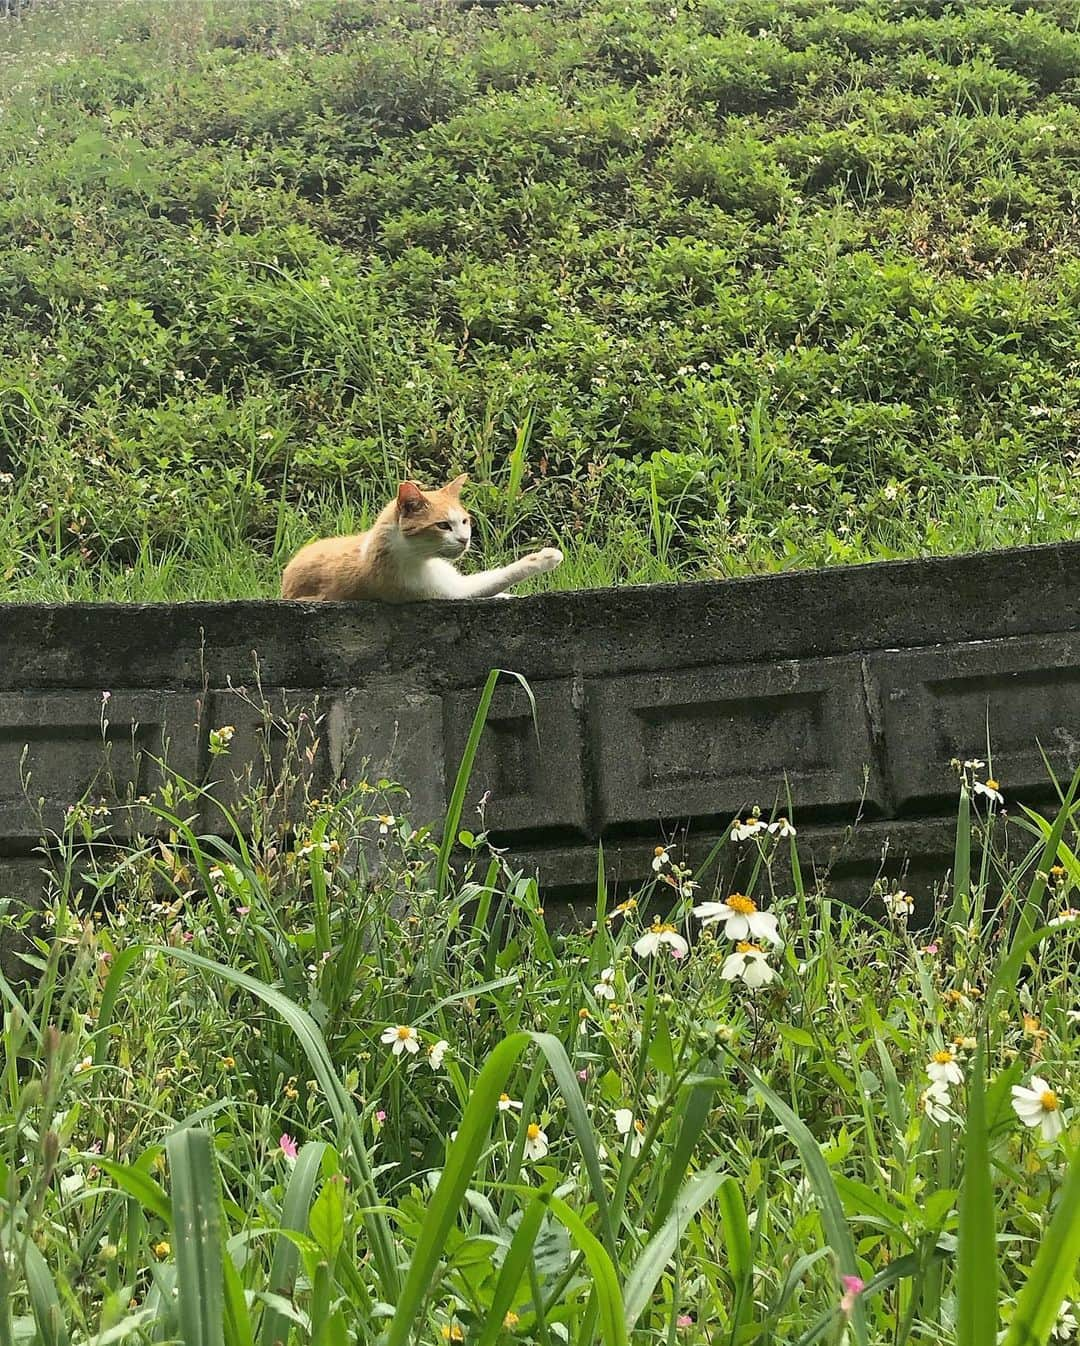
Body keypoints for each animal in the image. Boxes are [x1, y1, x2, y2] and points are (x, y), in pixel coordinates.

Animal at [277, 473, 562, 600]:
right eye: (443, 525)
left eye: (464, 522)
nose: (464, 539)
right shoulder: (441, 590)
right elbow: (498, 578)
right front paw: (546, 557)